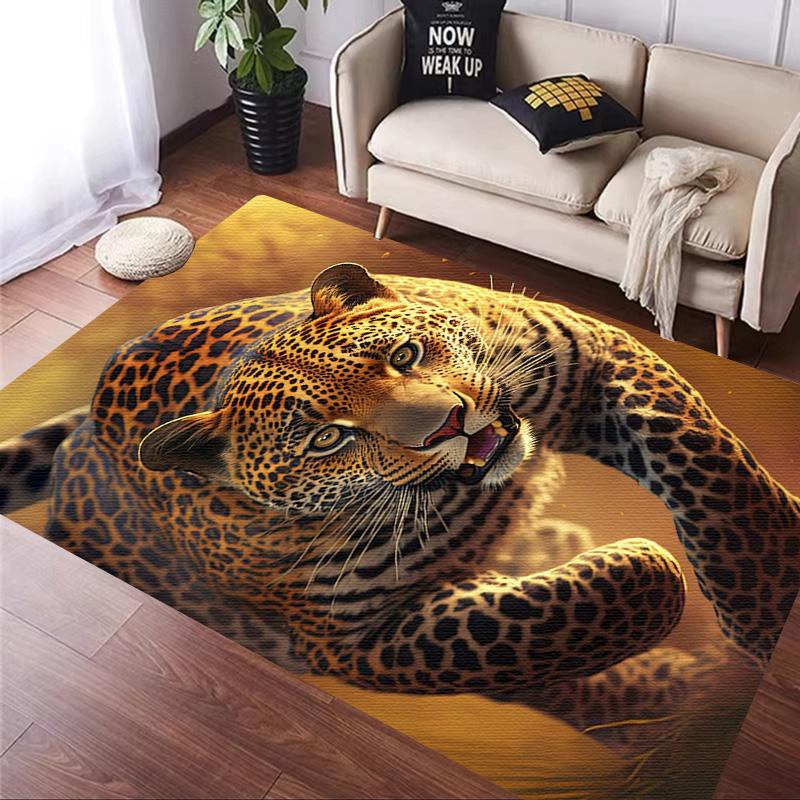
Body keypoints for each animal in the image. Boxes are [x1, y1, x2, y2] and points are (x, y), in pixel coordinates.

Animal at [2, 264, 798, 728]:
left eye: (403, 356)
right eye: (326, 439)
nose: (451, 423)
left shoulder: (588, 353)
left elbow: (705, 461)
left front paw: (768, 599)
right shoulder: (348, 642)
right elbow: (573, 613)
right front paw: (651, 591)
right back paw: (657, 687)